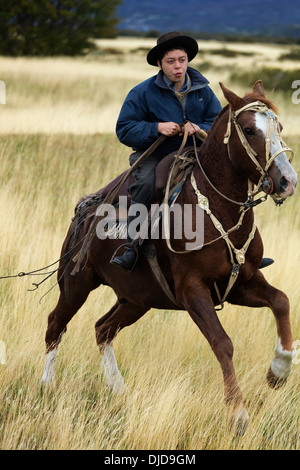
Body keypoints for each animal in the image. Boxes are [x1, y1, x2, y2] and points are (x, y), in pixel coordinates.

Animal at [41, 80, 296, 434]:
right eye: (248, 129)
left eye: (279, 127)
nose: (287, 181)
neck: (216, 209)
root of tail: (86, 208)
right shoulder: (193, 290)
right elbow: (222, 343)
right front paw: (238, 414)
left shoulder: (241, 284)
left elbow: (281, 301)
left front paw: (279, 372)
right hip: (76, 284)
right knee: (56, 325)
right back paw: (47, 385)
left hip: (137, 298)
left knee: (103, 329)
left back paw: (118, 389)